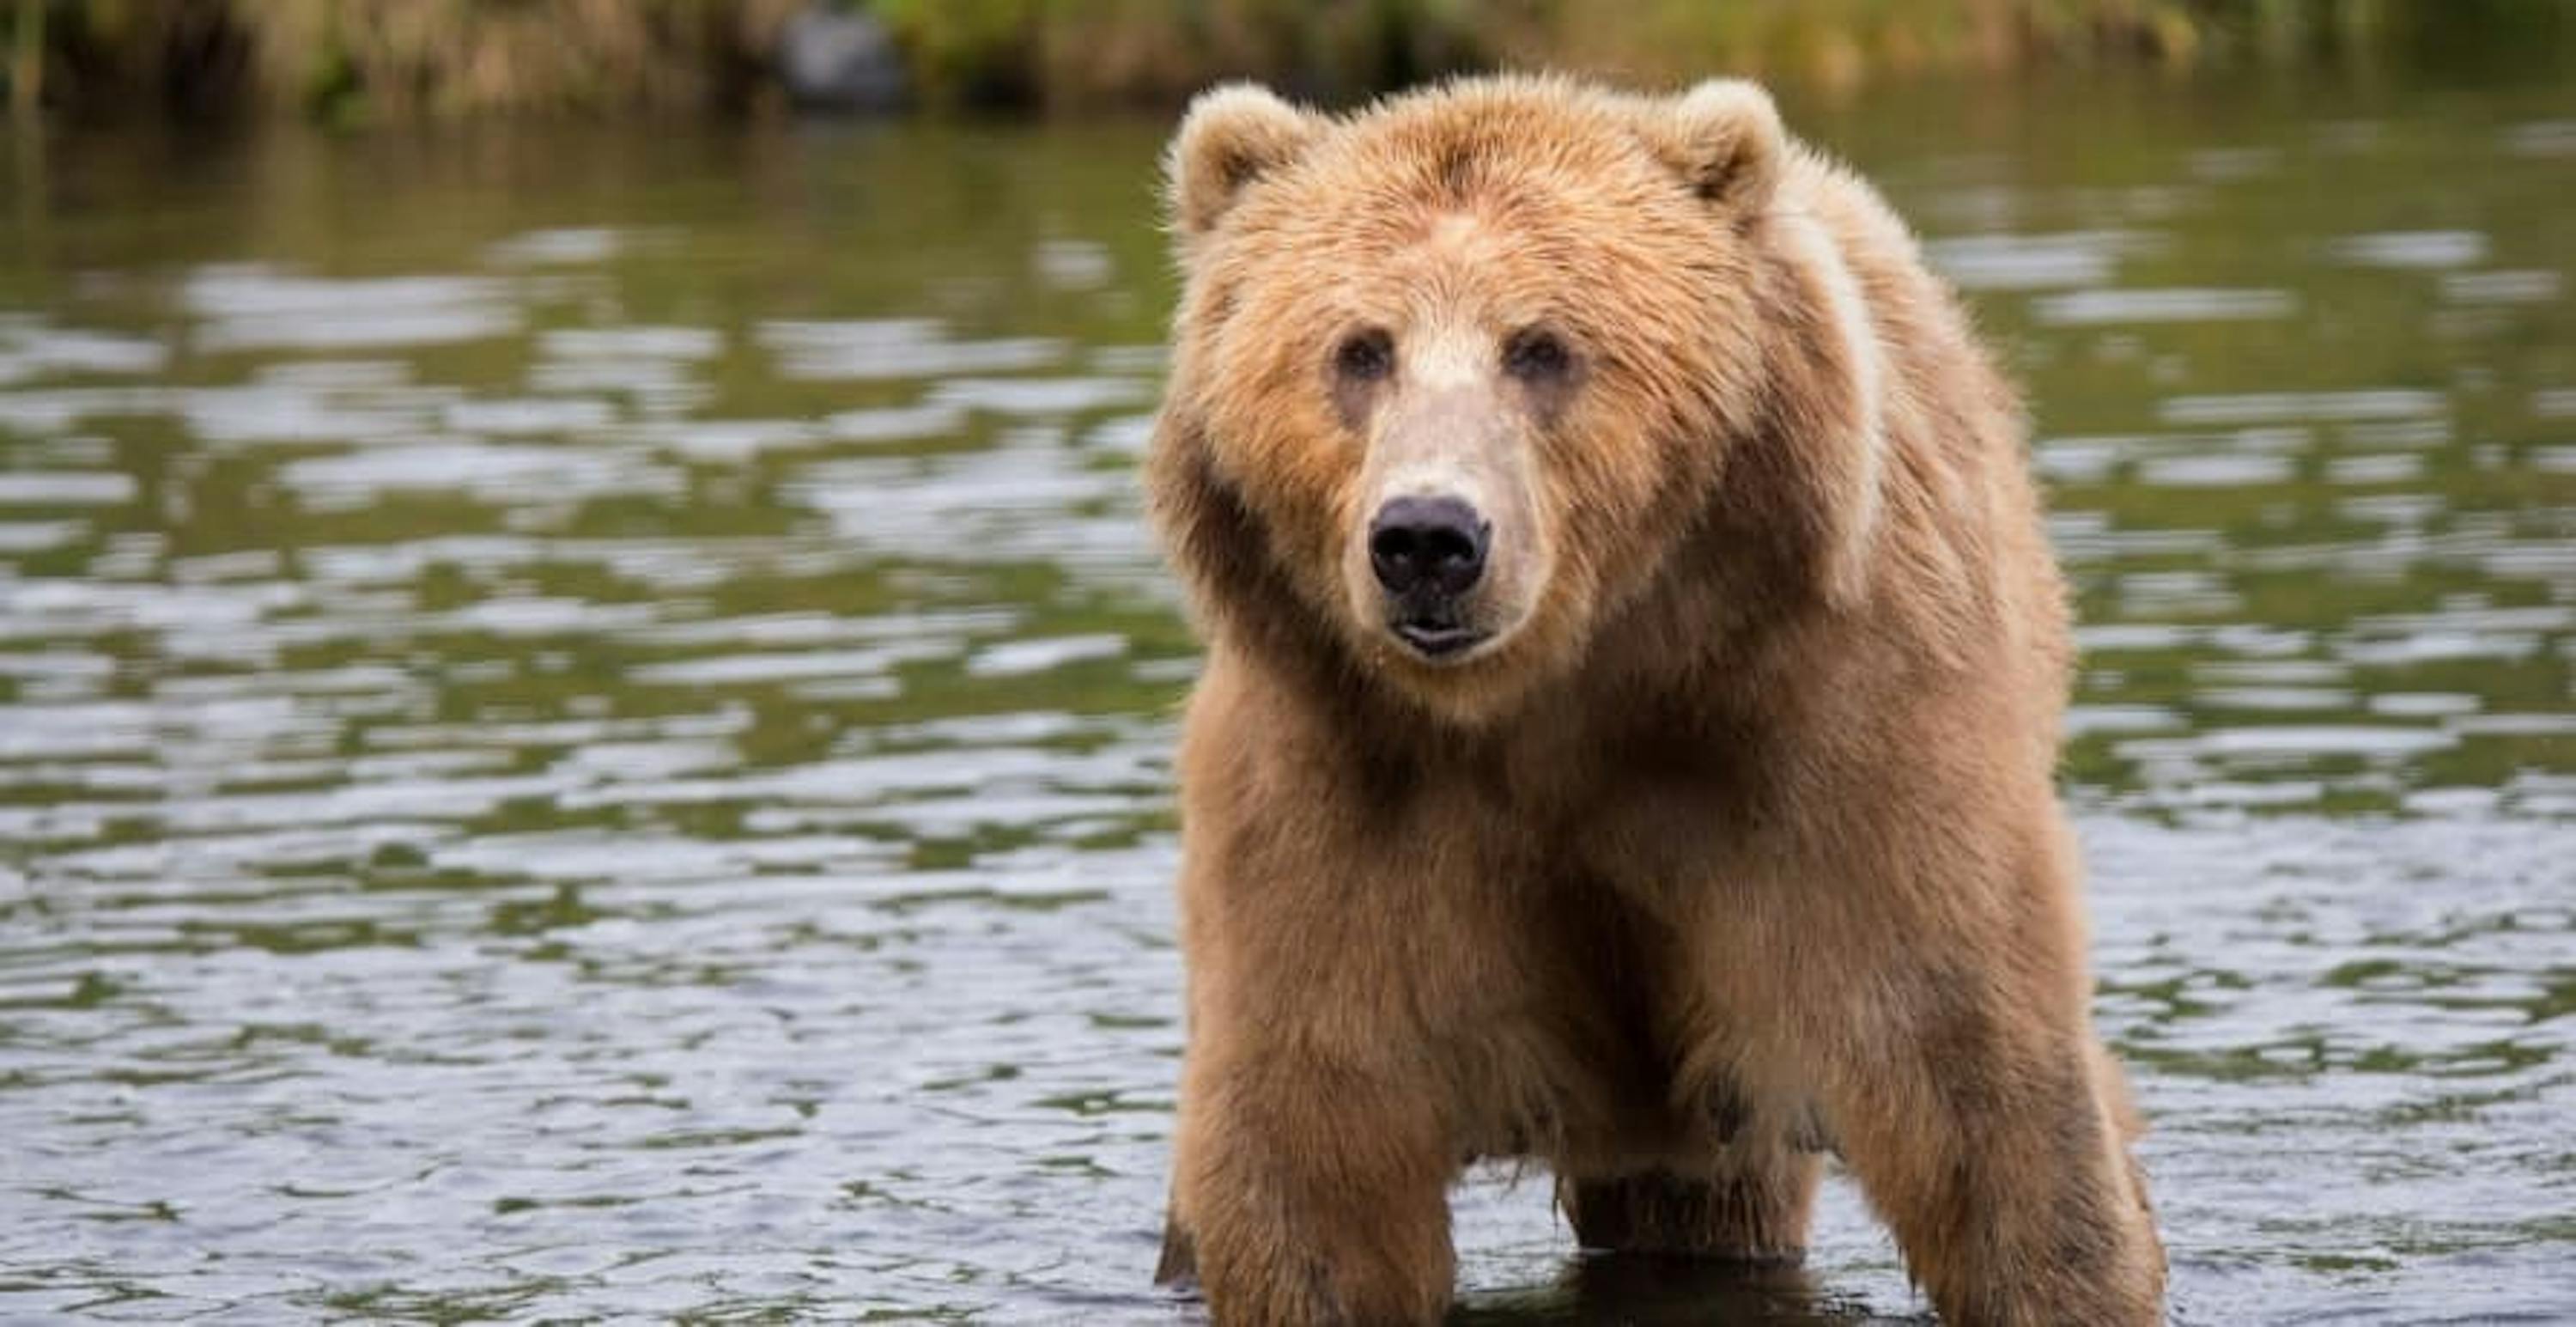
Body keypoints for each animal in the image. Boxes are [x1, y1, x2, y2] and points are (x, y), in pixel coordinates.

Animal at [1144, 75, 2154, 1327]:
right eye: (1360, 350)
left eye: (1541, 347)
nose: (1428, 538)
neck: (1568, 694)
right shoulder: (1340, 785)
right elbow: (1315, 1148)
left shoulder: (1834, 742)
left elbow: (1980, 1088)